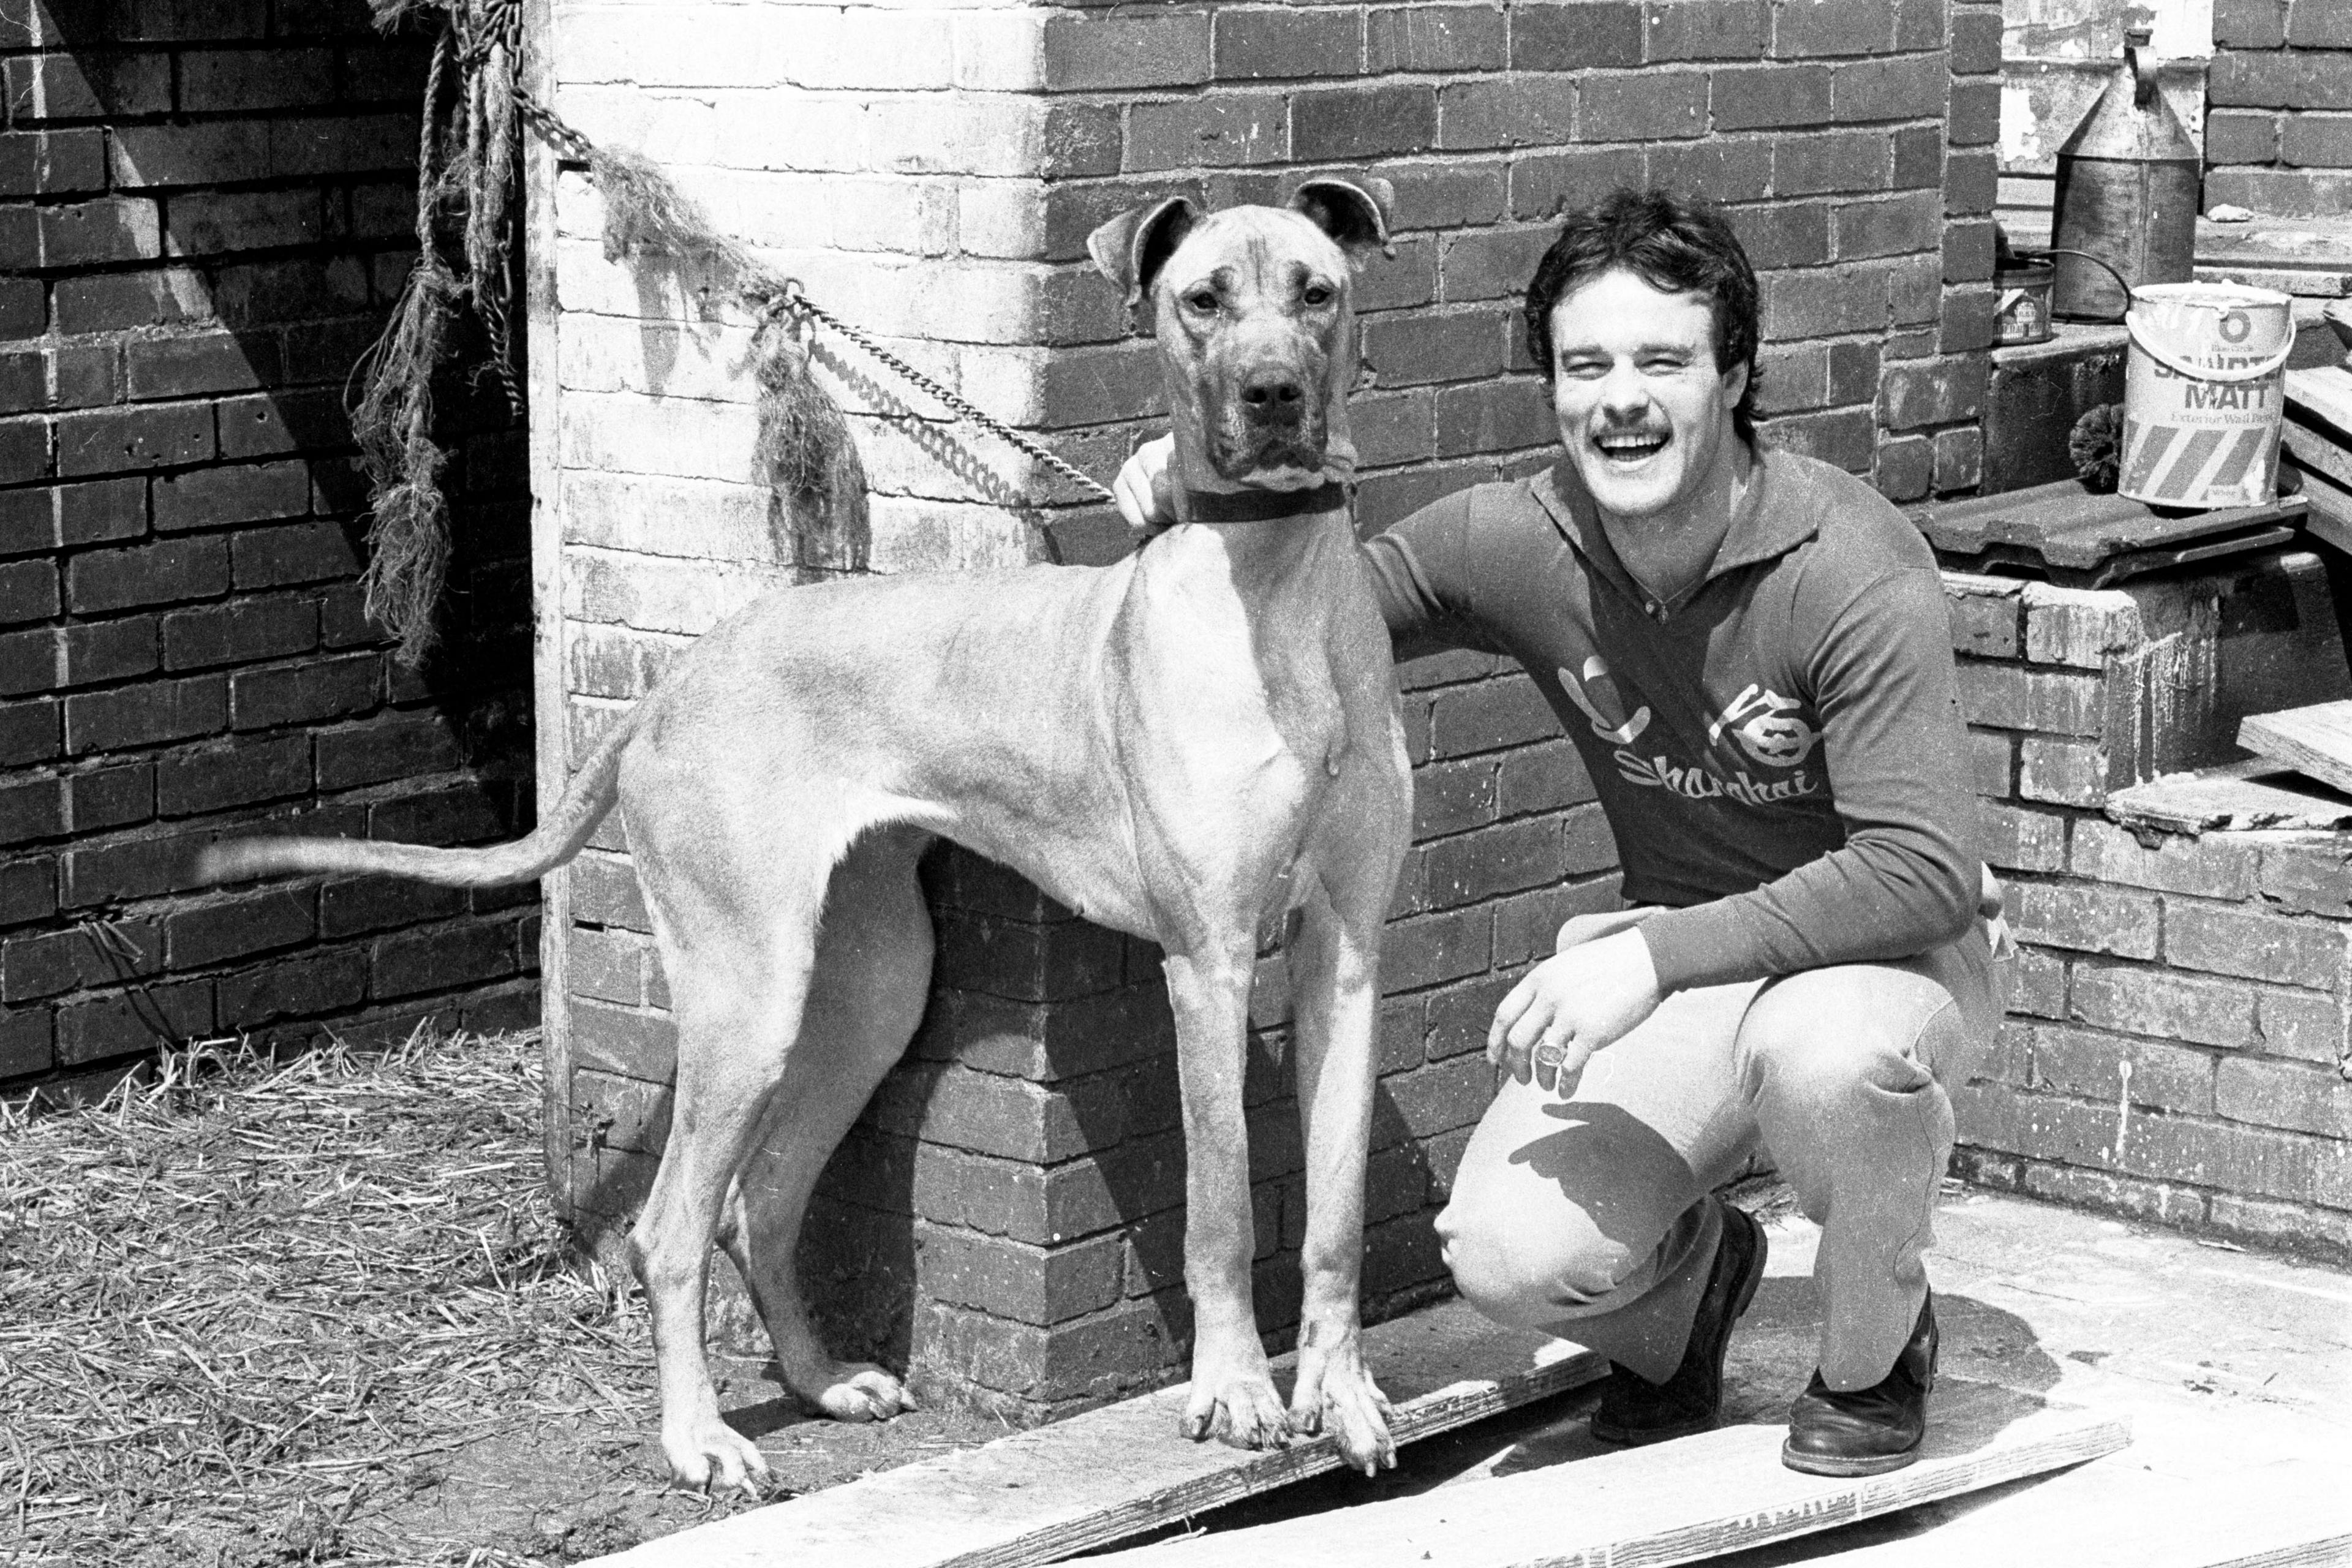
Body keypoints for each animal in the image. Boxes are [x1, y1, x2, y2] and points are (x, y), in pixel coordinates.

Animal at [197, 175, 1411, 1495]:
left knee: (761, 1202)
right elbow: (1226, 1206)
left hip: (869, 988)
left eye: (1317, 293)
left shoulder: (1347, 955)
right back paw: (700, 1440)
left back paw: (823, 1381)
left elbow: (1339, 1214)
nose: (1275, 394)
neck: (1275, 587)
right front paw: (1237, 1392)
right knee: (672, 1226)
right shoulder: (1208, 961)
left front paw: (1343, 1393)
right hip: (749, 994)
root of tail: (667, 689)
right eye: (1202, 301)